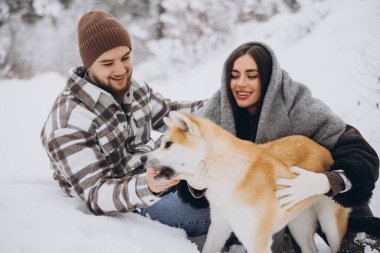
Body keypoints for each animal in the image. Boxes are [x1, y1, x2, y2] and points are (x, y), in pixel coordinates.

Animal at [140, 111, 350, 252]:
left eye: (168, 144)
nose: (142, 159)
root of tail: (325, 150)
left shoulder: (257, 240)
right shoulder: (219, 227)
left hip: (330, 226)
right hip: (299, 225)